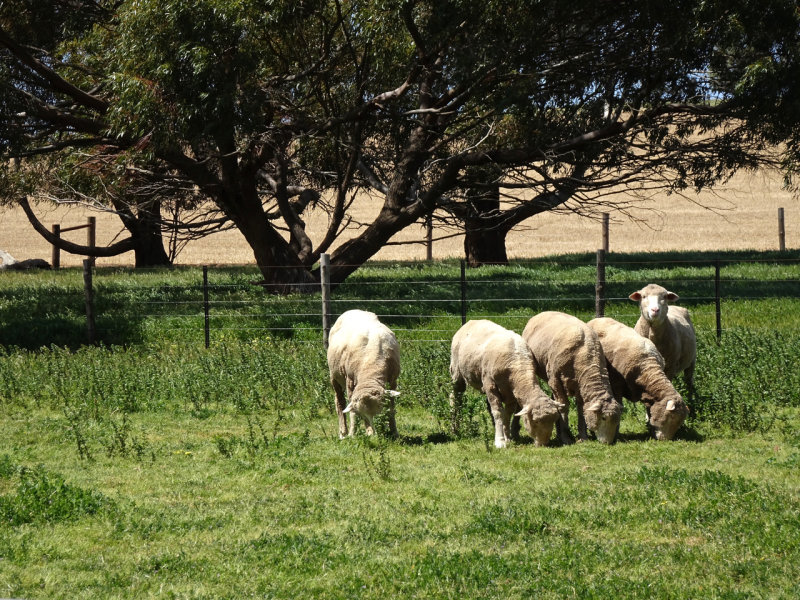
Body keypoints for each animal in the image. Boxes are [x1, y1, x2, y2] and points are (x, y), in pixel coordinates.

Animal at [520, 312, 620, 442]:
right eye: (603, 418)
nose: (608, 442)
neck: (585, 355)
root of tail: (542, 313)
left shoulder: (580, 385)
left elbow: (581, 409)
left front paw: (583, 437)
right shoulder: (555, 380)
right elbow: (563, 407)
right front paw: (565, 437)